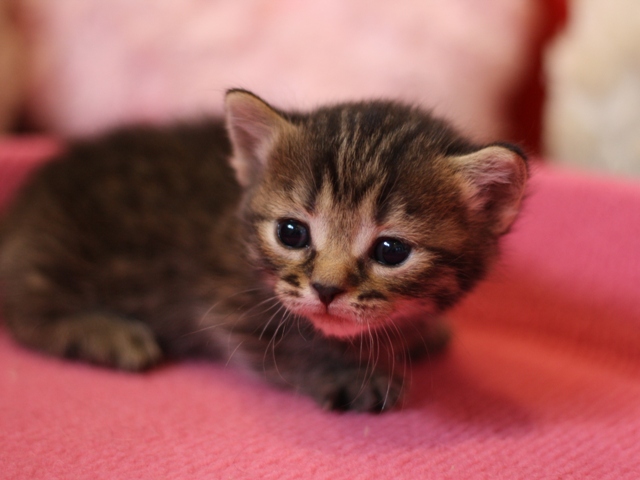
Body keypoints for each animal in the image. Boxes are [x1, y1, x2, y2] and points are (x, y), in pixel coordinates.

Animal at [0, 90, 528, 412]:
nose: (326, 289)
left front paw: (412, 334)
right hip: (54, 258)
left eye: (391, 250)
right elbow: (290, 343)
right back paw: (103, 331)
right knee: (27, 312)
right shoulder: (229, 301)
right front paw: (352, 373)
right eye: (291, 232)